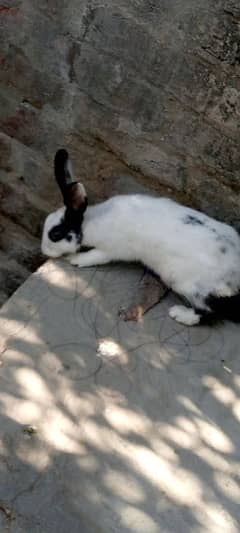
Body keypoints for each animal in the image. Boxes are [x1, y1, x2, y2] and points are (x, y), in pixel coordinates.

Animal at [40, 148, 240, 326]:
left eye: (55, 234)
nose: (44, 251)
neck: (89, 224)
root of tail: (235, 274)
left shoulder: (109, 250)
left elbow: (94, 257)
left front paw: (75, 259)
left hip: (188, 285)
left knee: (207, 311)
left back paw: (179, 314)